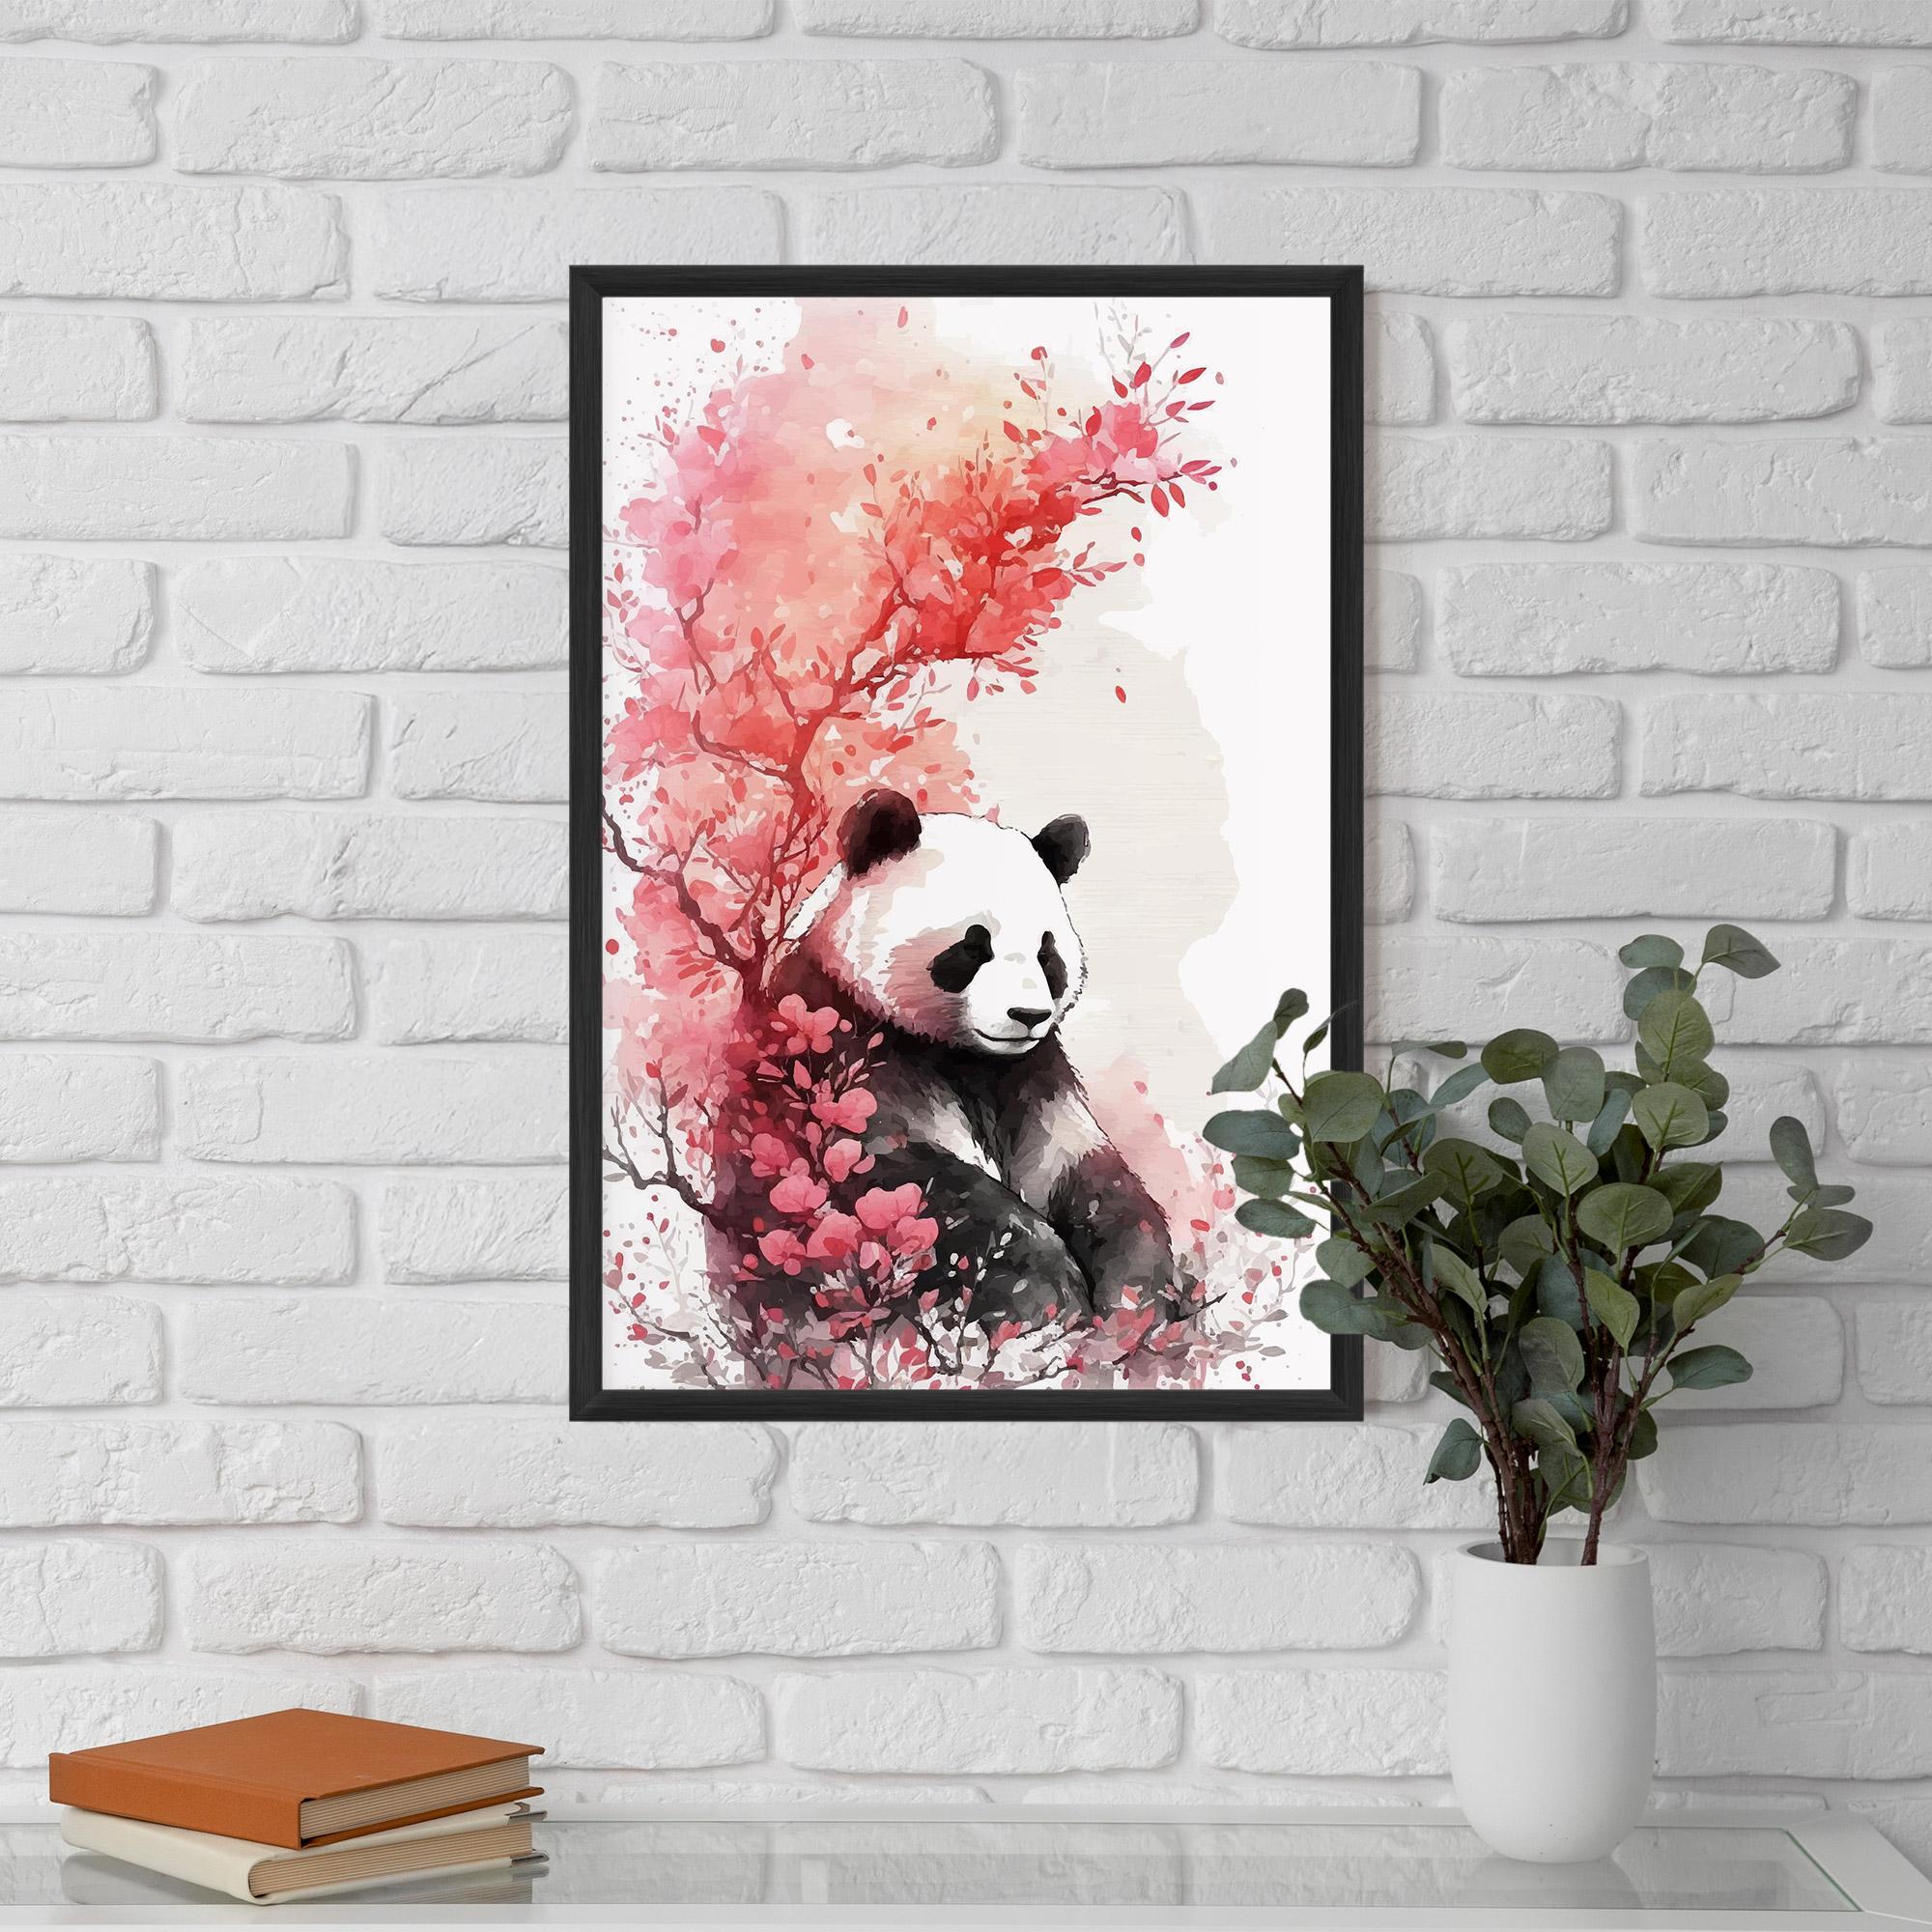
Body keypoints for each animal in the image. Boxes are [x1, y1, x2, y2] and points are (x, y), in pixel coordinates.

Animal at [767, 786, 1184, 1336]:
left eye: (1047, 954)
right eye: (972, 946)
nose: (1028, 1015)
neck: (964, 1054)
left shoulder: (1033, 1077)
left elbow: (1085, 1173)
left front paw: (1136, 1300)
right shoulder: (835, 1047)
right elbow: (903, 1177)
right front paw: (1047, 1300)